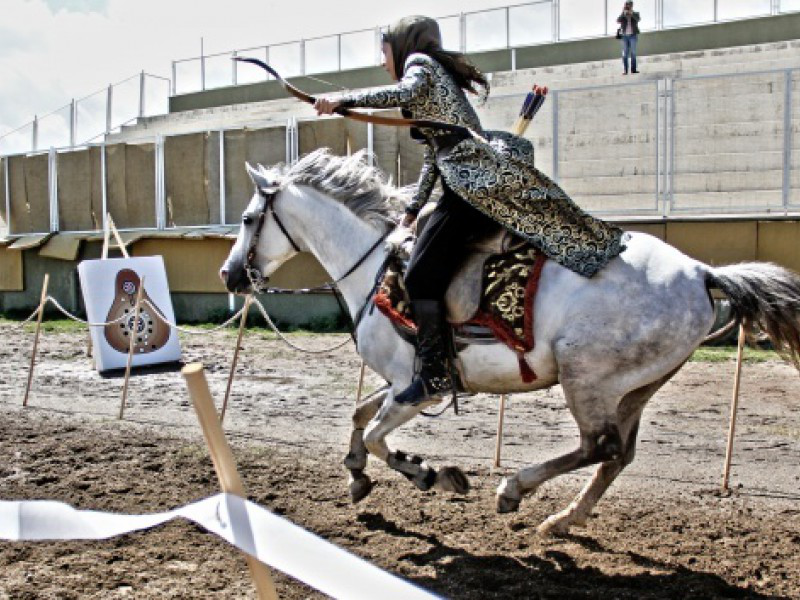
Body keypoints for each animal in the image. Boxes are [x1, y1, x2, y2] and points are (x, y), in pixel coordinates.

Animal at [222, 150, 800, 536]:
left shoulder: (420, 389)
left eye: (249, 219)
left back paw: (515, 490)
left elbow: (379, 436)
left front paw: (434, 475)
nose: (230, 275)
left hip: (585, 378)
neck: (377, 267)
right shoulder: (404, 381)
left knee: (599, 446)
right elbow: (360, 417)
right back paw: (563, 519)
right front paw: (358, 477)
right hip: (637, 388)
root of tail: (702, 273)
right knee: (618, 454)